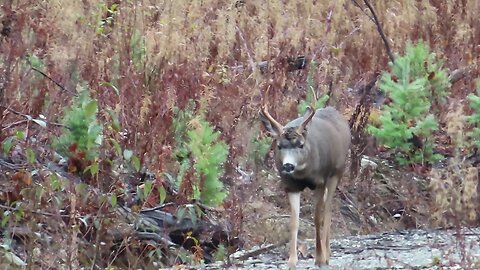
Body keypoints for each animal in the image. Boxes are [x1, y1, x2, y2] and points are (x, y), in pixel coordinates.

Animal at [258, 93, 352, 268]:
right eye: (279, 146)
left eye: (301, 145)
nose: (288, 165)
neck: (304, 174)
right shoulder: (291, 186)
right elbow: (294, 222)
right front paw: (292, 260)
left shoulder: (320, 182)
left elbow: (317, 218)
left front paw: (319, 257)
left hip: (336, 172)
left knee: (328, 209)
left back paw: (326, 255)